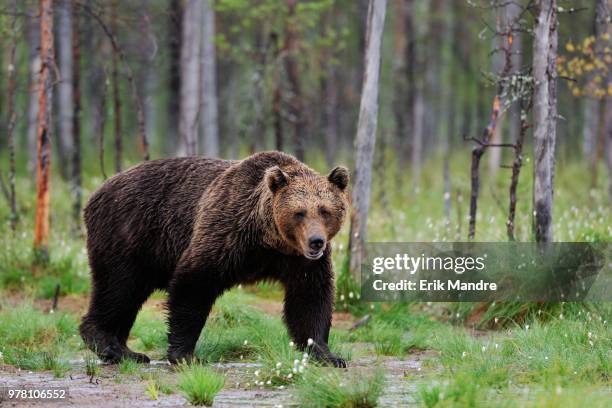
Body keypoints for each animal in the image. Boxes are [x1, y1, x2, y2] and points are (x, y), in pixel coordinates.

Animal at [79, 151, 350, 368]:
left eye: (325, 210)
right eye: (299, 212)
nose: (316, 241)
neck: (268, 240)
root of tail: (97, 191)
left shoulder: (299, 261)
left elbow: (310, 299)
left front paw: (328, 355)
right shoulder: (227, 232)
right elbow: (194, 283)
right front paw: (185, 354)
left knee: (126, 296)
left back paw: (128, 351)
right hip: (128, 235)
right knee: (118, 288)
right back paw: (110, 345)